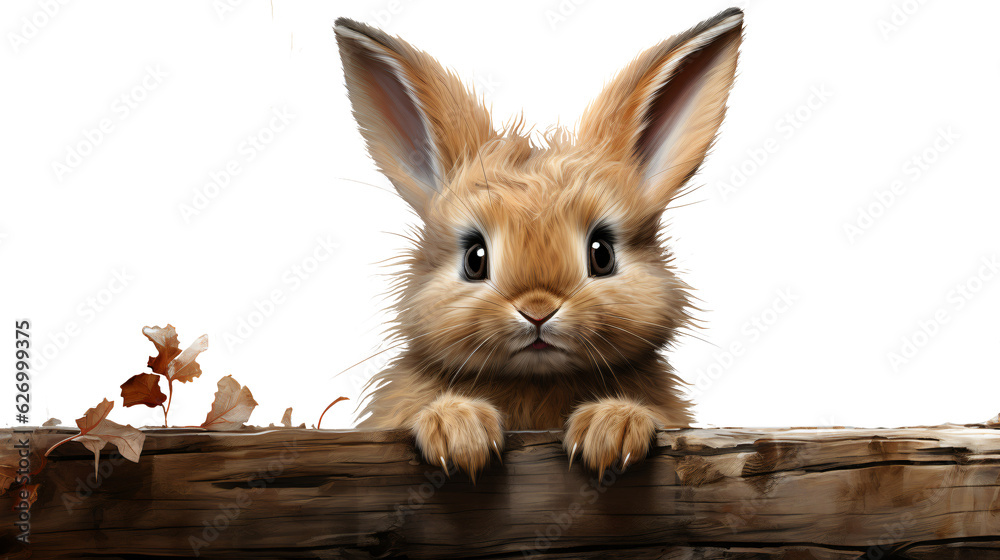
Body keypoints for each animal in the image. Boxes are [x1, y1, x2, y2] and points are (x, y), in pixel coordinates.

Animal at [334, 7, 743, 478]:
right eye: (475, 259)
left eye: (602, 254)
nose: (537, 310)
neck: (536, 378)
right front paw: (457, 431)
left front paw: (612, 428)